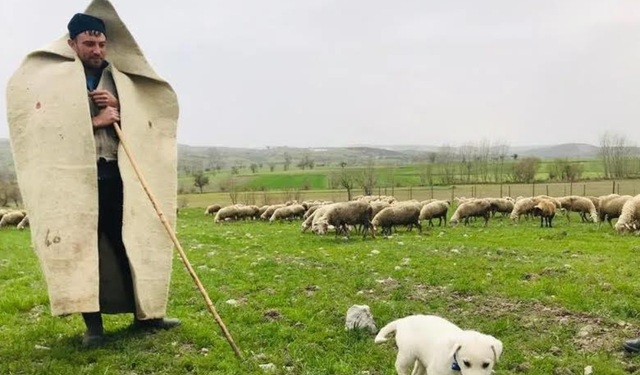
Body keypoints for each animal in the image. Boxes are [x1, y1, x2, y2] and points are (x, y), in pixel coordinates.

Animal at [372, 316, 502, 374]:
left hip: (421, 357)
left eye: (486, 365)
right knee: (400, 367)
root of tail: (402, 320)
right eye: (466, 363)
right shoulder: (435, 371)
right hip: (407, 354)